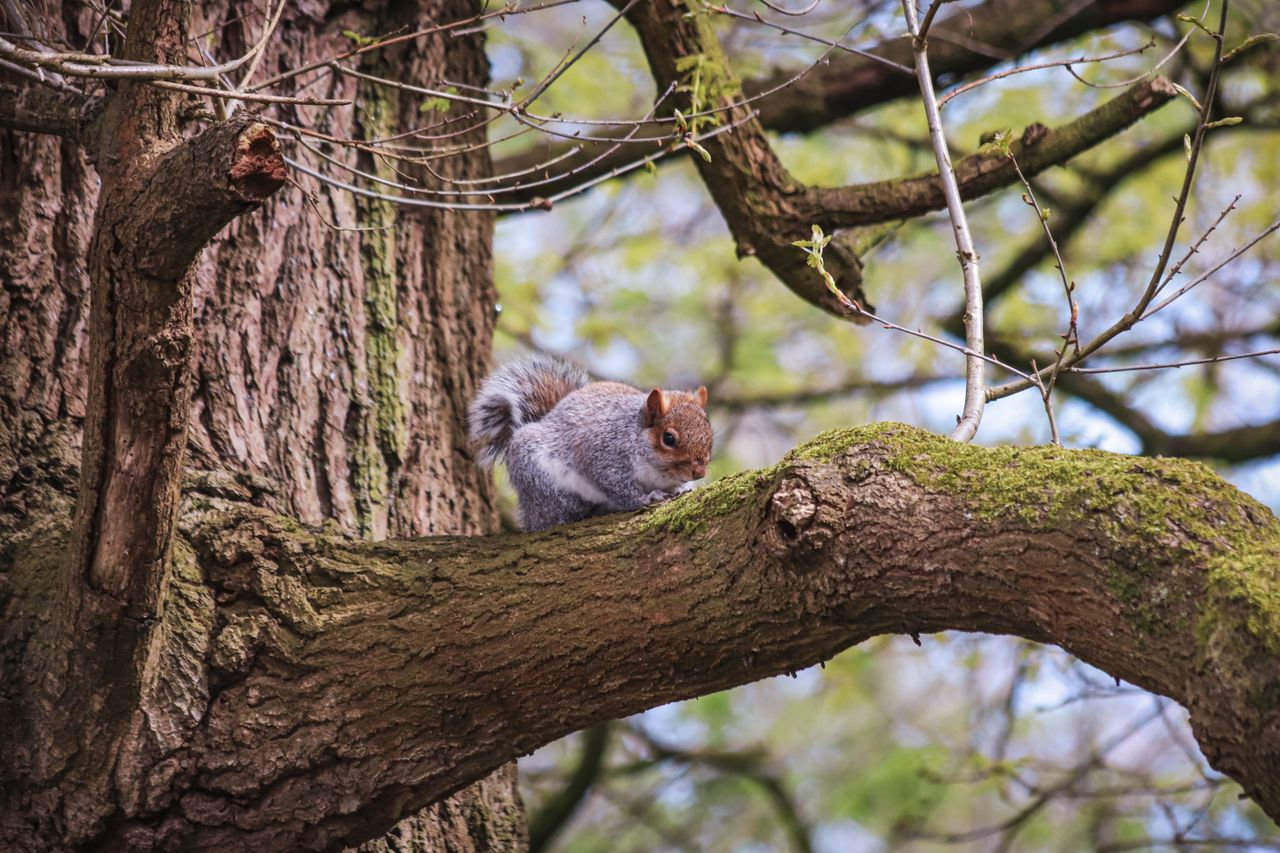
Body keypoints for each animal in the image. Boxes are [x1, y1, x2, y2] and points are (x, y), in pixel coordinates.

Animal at [468, 354, 712, 531]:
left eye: (709, 431)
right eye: (668, 438)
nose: (699, 472)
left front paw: (682, 488)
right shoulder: (602, 452)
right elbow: (616, 484)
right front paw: (645, 497)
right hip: (542, 481)